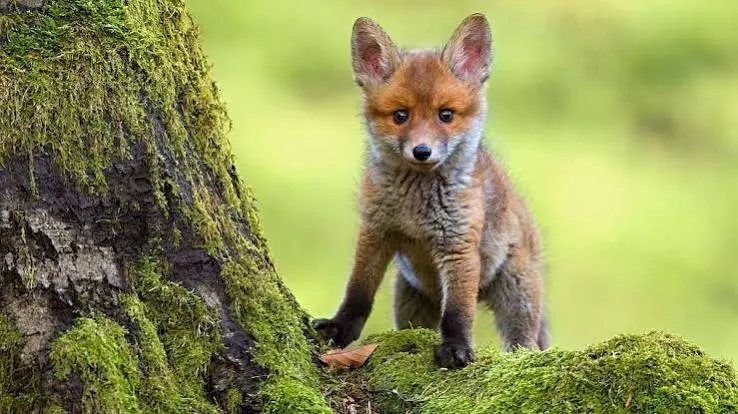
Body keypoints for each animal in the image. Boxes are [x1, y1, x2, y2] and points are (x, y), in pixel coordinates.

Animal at [313, 13, 549, 368]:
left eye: (446, 115)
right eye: (400, 116)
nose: (422, 151)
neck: (415, 209)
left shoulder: (458, 246)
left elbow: (458, 313)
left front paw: (456, 348)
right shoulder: (375, 232)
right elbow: (358, 292)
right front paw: (340, 328)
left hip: (516, 294)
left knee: (525, 343)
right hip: (409, 300)